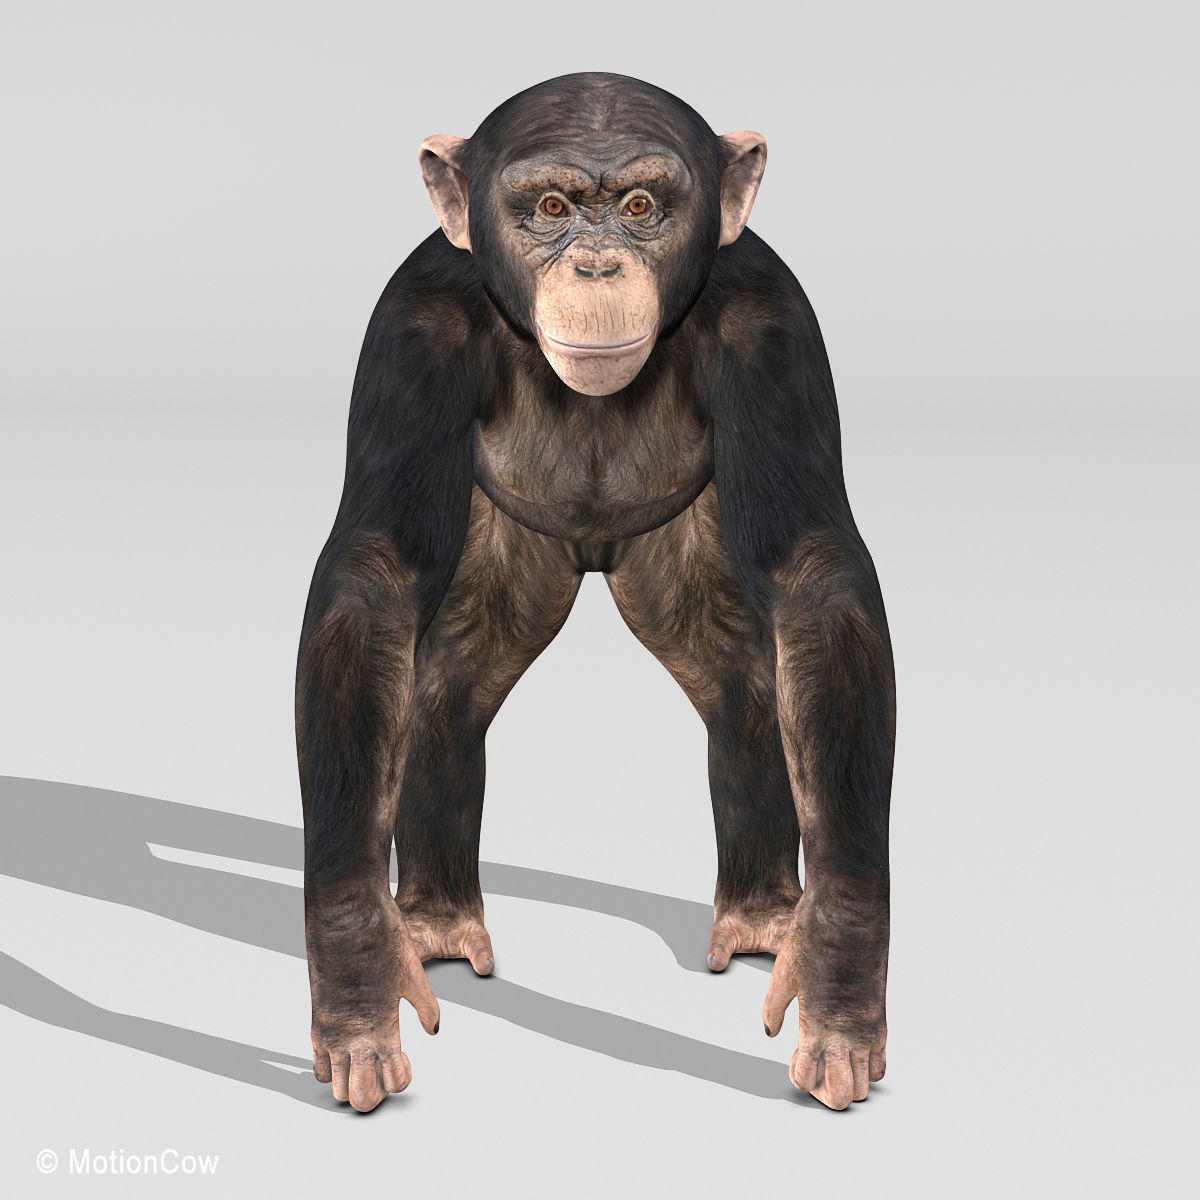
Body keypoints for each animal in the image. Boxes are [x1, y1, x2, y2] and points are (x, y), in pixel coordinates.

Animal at [296, 72, 895, 1114]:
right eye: (549, 208)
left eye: (645, 205)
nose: (599, 264)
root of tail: (594, 552)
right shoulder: (409, 332)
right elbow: (375, 582)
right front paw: (357, 976)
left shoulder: (775, 325)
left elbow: (813, 578)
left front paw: (839, 973)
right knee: (445, 691)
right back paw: (433, 925)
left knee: (744, 687)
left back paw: (765, 917)